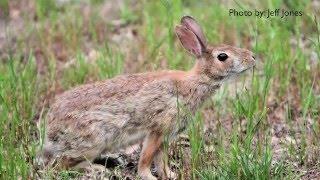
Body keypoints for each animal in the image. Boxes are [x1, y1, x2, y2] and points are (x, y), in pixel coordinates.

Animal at [39, 15, 255, 180]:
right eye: (222, 56)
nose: (252, 58)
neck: (195, 81)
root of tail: (51, 128)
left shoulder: (166, 137)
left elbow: (161, 160)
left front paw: (170, 175)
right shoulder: (157, 130)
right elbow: (146, 158)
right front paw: (148, 176)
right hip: (93, 140)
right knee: (63, 165)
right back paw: (98, 169)